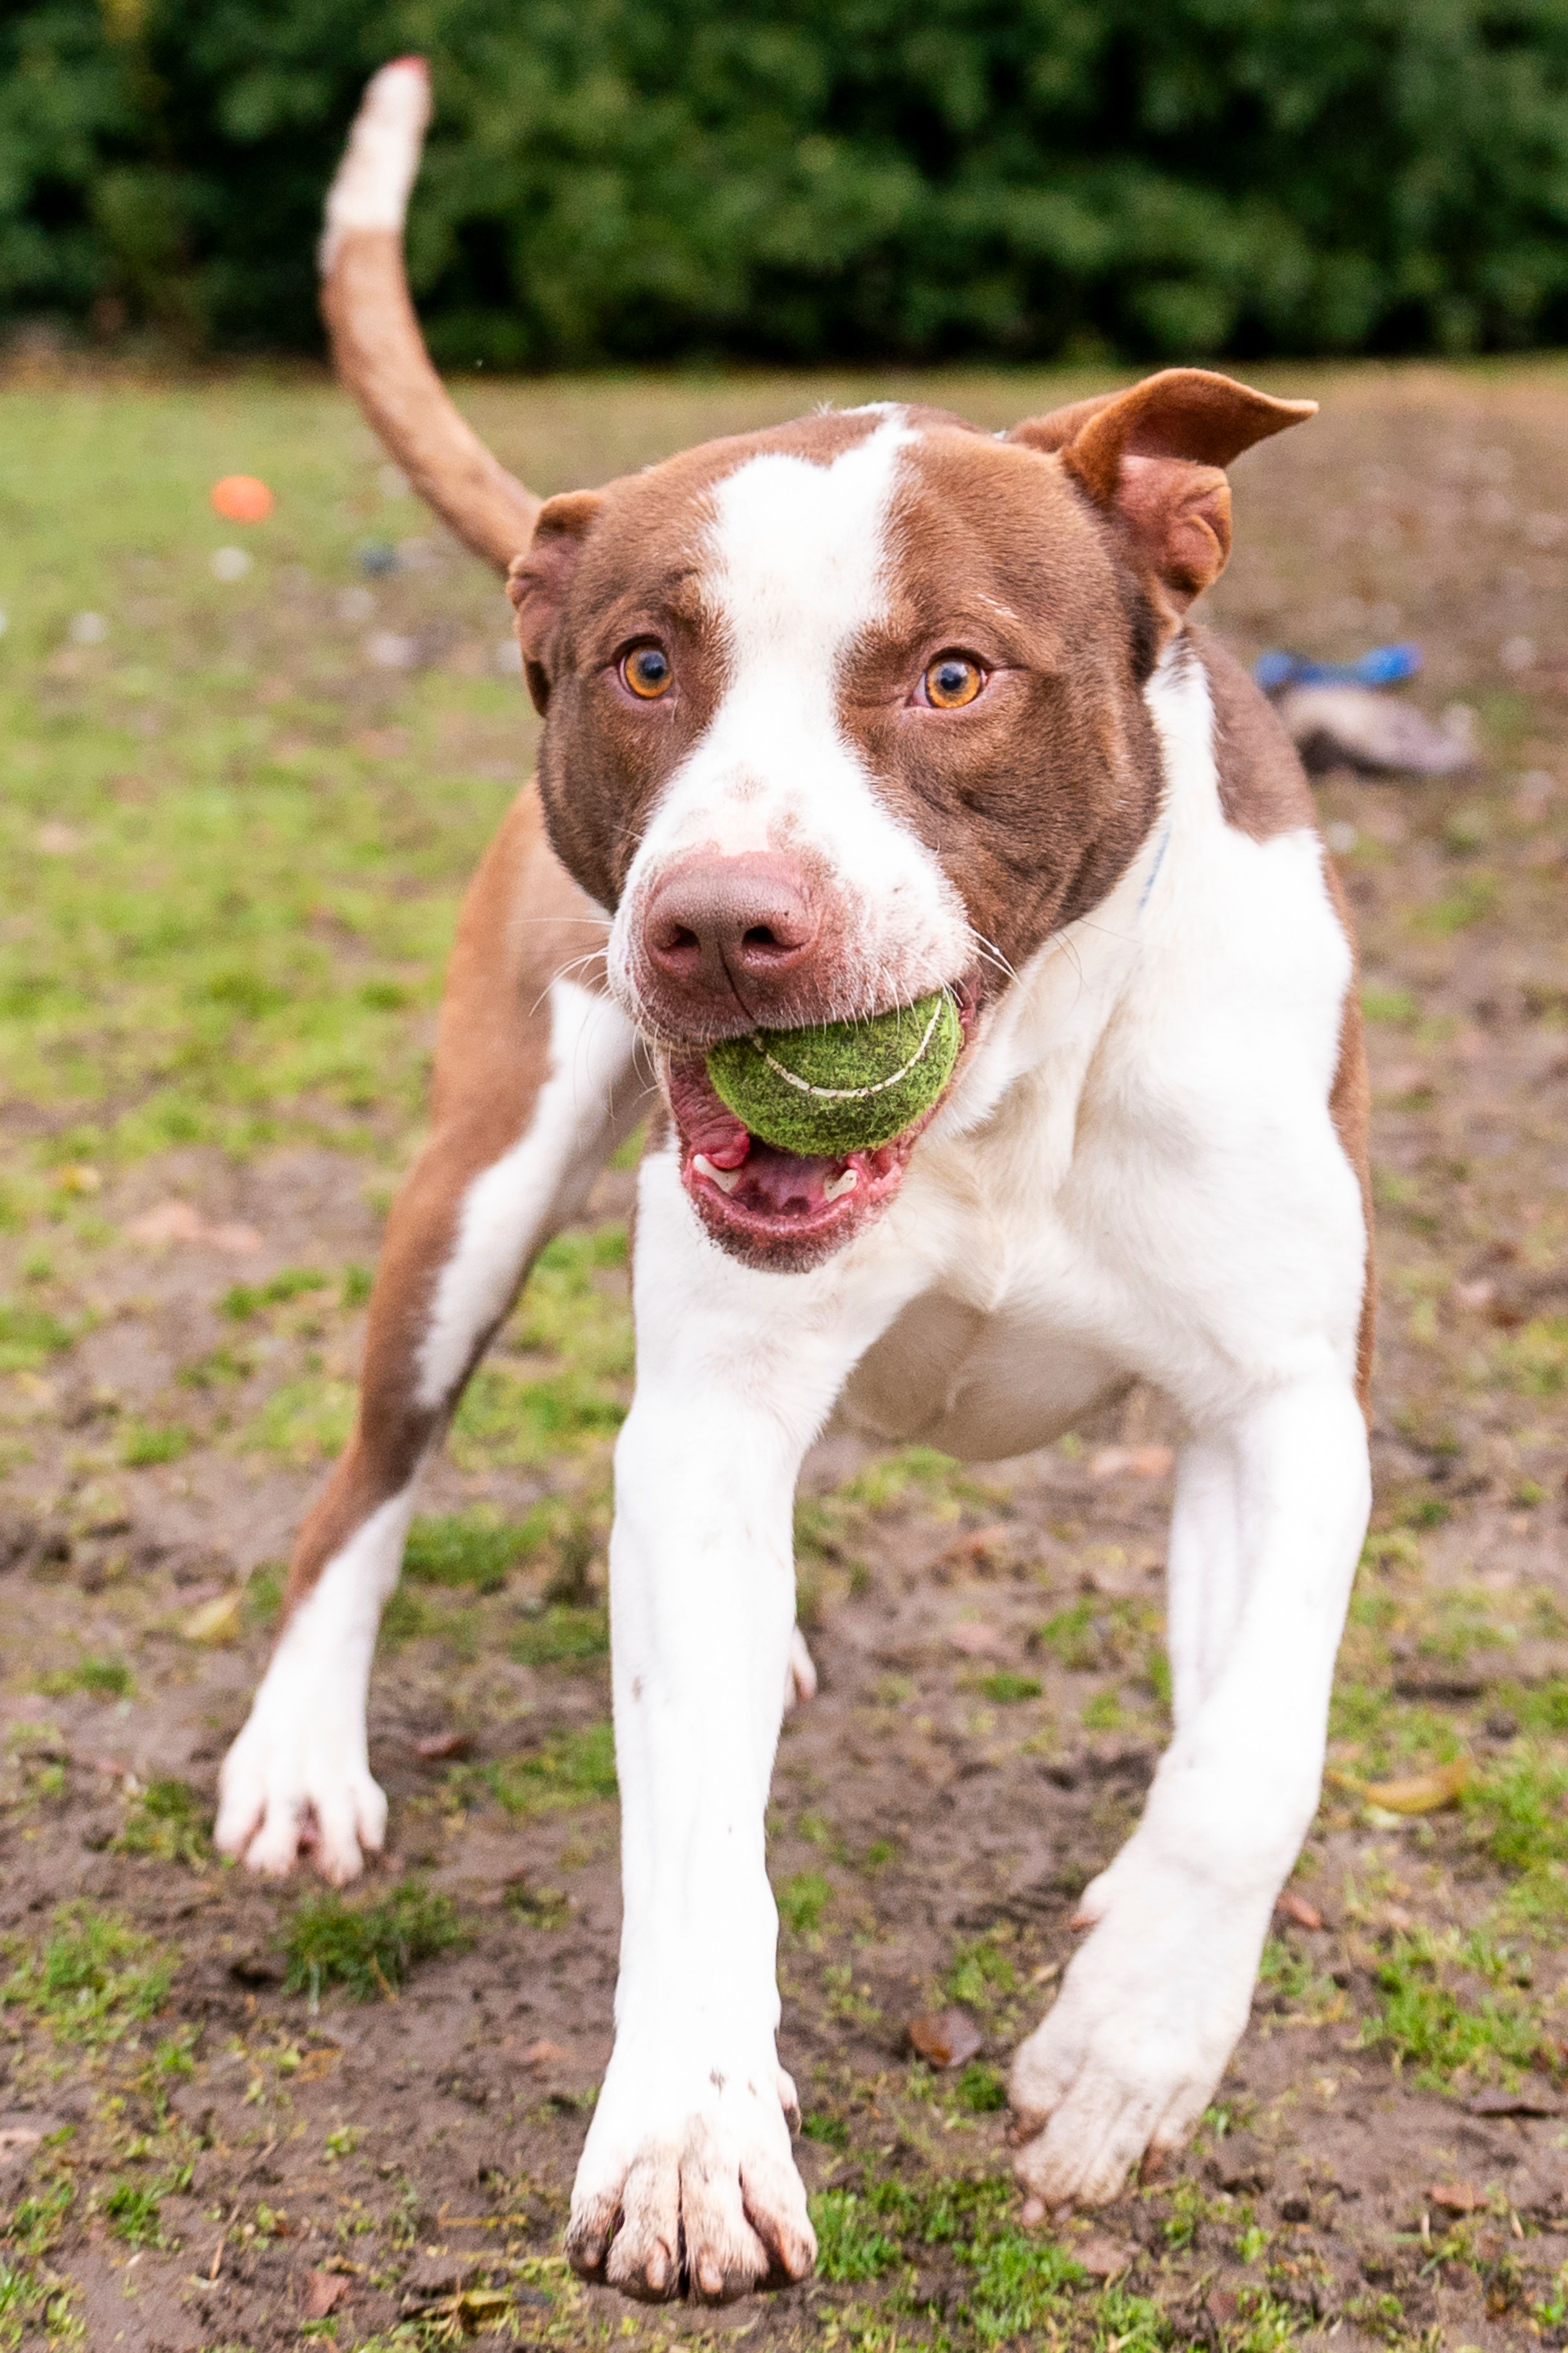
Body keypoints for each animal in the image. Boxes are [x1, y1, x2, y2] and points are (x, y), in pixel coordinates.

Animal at [217, 64, 1373, 2306]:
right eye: (649, 669)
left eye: (954, 677)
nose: (720, 927)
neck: (1010, 1102)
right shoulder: (708, 1417)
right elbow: (690, 1837)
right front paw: (686, 2130)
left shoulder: (1286, 1405)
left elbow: (1247, 1751)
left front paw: (1128, 2043)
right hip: (477, 1185)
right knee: (366, 1484)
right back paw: (304, 1756)